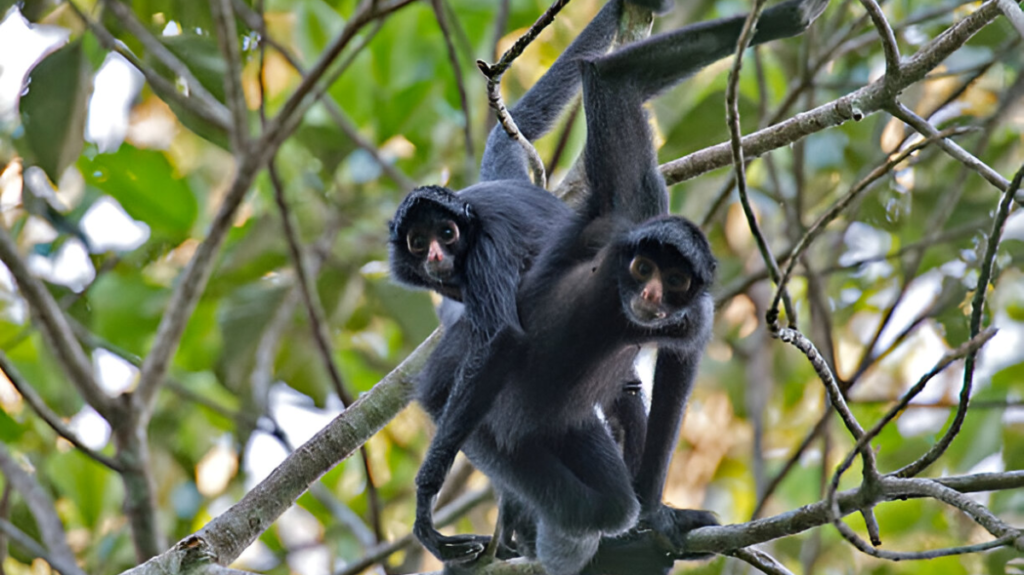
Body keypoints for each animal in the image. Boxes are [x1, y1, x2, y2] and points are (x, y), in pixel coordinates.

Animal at [403, 1, 827, 572]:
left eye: (674, 280)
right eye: (643, 271)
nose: (650, 297)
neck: (612, 302)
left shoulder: (684, 307)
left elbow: (682, 359)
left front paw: (657, 514)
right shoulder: (609, 227)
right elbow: (609, 82)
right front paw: (427, 499)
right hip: (495, 434)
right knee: (595, 505)